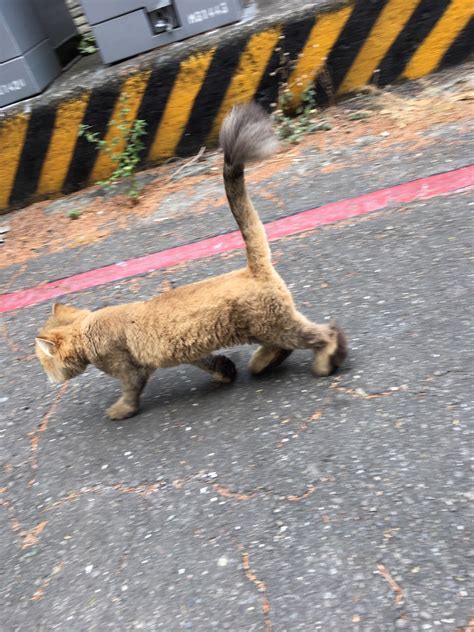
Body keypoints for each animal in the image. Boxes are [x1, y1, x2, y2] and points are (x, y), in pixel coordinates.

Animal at [36, 103, 348, 420]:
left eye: (45, 363)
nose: (48, 379)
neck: (87, 330)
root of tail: (253, 269)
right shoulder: (189, 351)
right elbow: (213, 362)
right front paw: (225, 374)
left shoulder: (129, 370)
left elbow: (131, 392)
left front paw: (121, 410)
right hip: (264, 329)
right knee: (282, 347)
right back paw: (262, 364)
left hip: (275, 326)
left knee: (325, 333)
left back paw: (325, 361)